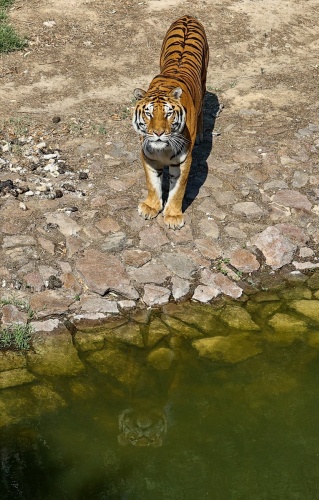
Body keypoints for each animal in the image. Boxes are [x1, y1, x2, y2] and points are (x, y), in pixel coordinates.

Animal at [132, 13, 210, 229]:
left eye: (168, 114)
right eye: (148, 113)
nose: (158, 133)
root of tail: (188, 15)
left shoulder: (184, 160)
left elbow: (178, 190)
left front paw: (173, 216)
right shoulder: (148, 156)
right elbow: (152, 184)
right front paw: (151, 207)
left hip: (204, 78)